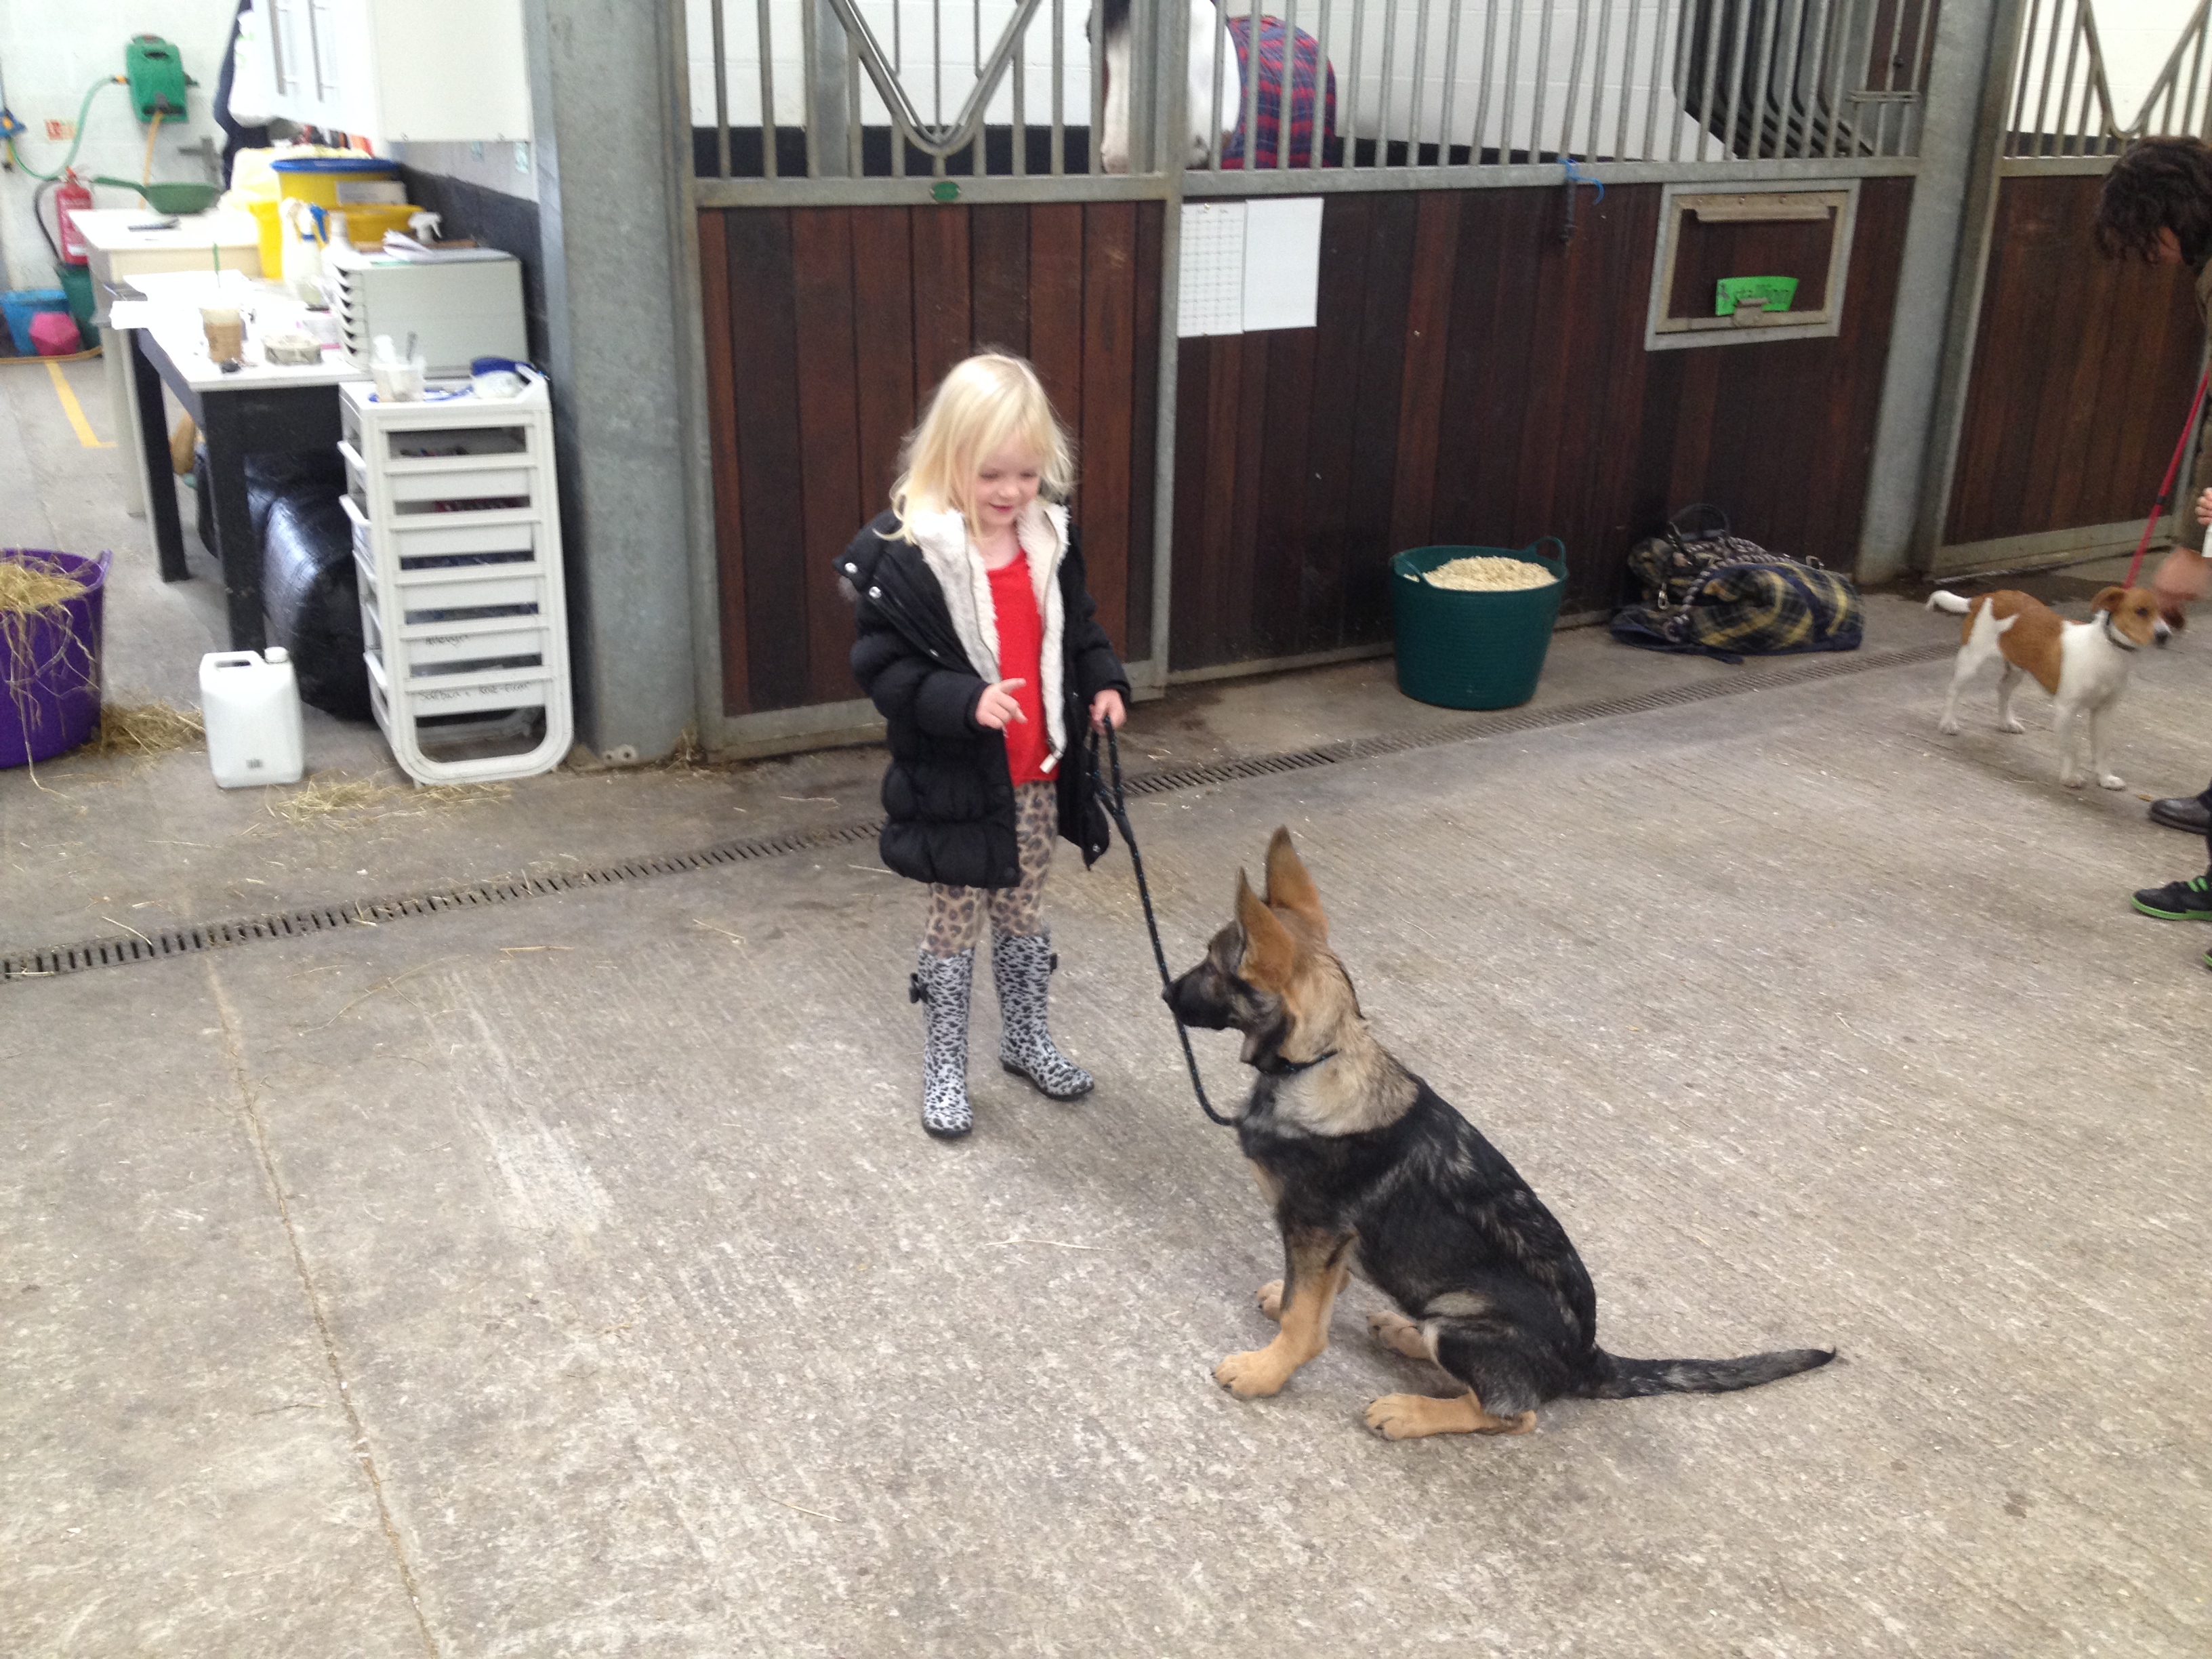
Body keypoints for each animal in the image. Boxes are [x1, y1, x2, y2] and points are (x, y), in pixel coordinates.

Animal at [1159, 832, 1831, 1442]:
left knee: (1514, 1413)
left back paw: (1411, 1411)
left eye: (1212, 966)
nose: (1165, 993)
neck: (1318, 1063)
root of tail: (1588, 1360)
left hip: (1465, 1324)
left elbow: (1306, 1323)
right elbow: (1316, 1291)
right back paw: (1404, 1333)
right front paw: (1288, 1301)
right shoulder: (1329, 1241)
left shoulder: (1315, 1227)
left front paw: (1265, 1372)